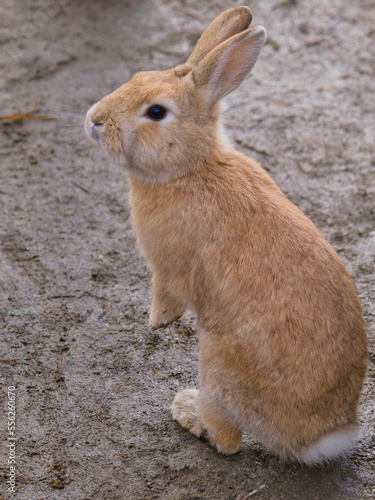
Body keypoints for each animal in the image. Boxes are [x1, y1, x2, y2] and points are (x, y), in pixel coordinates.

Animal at [83, 6, 368, 464]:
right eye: (137, 75)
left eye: (156, 112)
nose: (95, 121)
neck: (190, 168)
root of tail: (323, 438)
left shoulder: (168, 268)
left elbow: (166, 294)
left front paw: (156, 322)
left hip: (216, 364)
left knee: (229, 440)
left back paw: (188, 412)